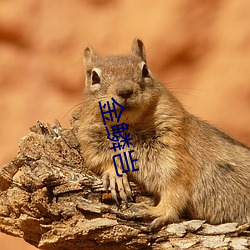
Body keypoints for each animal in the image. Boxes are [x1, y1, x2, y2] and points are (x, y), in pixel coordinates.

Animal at [77, 38, 249, 229]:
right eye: (94, 77)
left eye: (145, 70)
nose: (125, 91)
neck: (128, 127)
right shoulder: (91, 142)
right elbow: (100, 161)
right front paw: (116, 176)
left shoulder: (175, 154)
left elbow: (175, 189)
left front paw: (156, 211)